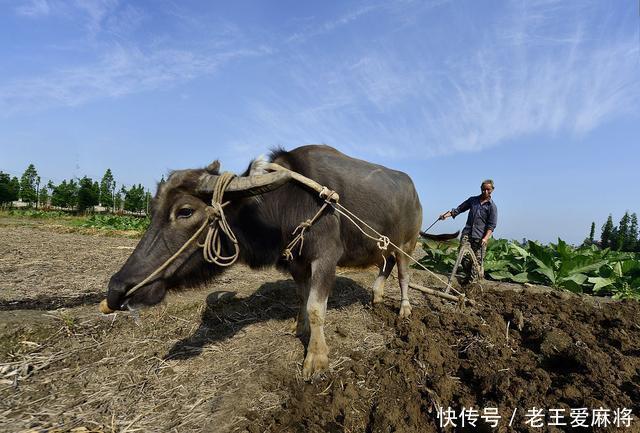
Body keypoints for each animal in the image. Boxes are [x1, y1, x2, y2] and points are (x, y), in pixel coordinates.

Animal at [106, 144, 450, 378]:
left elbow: (316, 307)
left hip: (407, 245)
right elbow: (303, 298)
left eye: (185, 211)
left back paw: (404, 309)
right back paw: (376, 297)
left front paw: (316, 359)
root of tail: (415, 193)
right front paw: (299, 329)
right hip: (383, 246)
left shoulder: (325, 258)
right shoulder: (296, 263)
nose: (116, 289)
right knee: (385, 266)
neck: (287, 203)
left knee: (403, 275)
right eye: (153, 209)